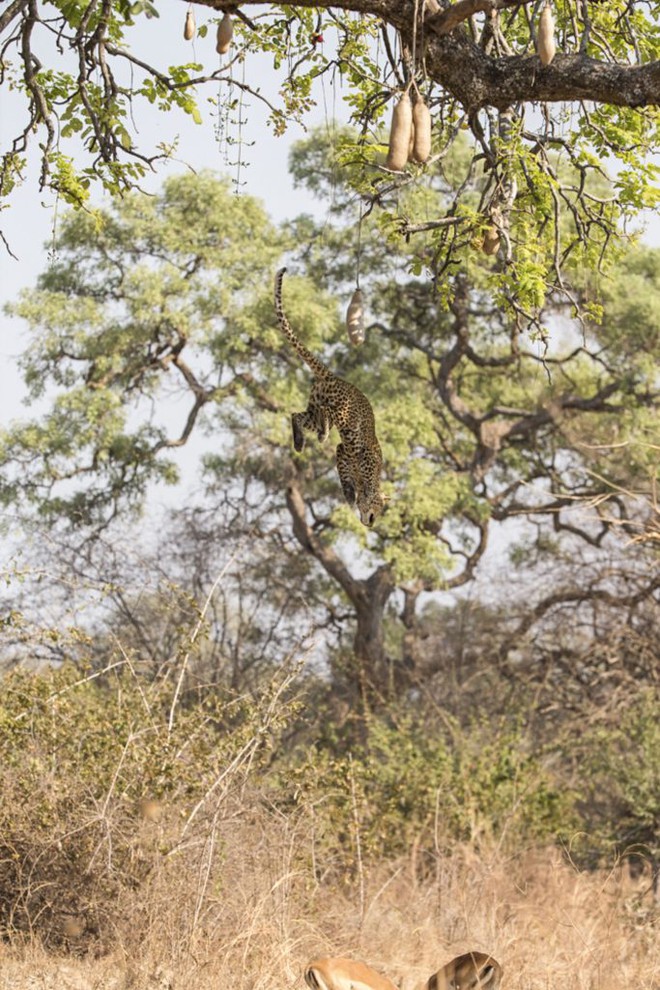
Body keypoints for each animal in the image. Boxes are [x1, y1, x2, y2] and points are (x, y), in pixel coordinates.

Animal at [272, 264, 386, 528]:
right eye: (381, 508)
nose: (373, 522)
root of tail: (334, 377)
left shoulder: (342, 451)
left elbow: (343, 472)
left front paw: (350, 495)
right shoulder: (352, 451)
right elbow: (350, 477)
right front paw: (353, 496)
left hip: (314, 406)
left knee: (297, 415)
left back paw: (299, 442)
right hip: (342, 413)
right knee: (327, 413)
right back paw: (322, 433)